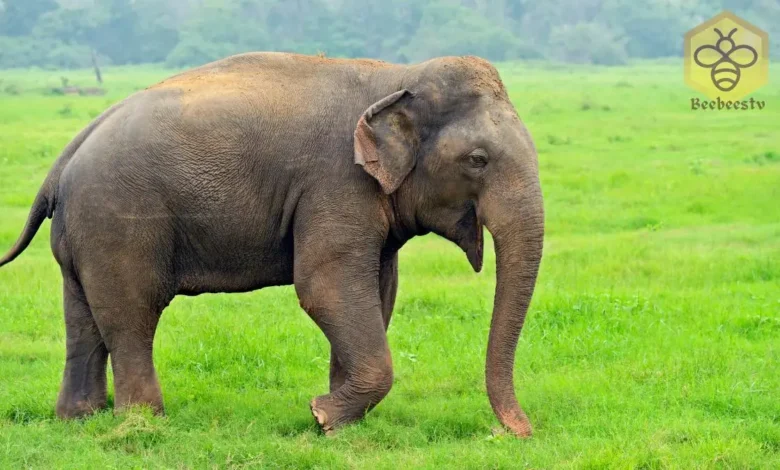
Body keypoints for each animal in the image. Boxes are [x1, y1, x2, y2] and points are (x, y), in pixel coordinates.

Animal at [0, 53, 544, 438]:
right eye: (477, 160)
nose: (517, 432)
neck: (397, 75)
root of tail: (66, 155)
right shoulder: (335, 182)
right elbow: (325, 287)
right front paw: (322, 417)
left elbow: (379, 289)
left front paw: (335, 419)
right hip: (119, 220)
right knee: (131, 311)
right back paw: (144, 423)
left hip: (83, 229)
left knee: (82, 315)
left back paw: (80, 419)